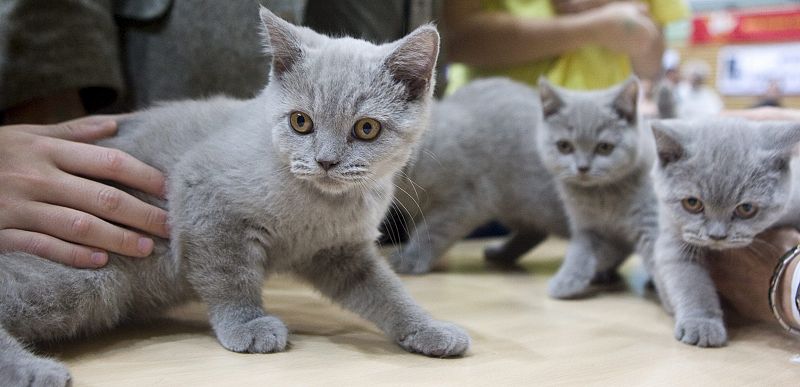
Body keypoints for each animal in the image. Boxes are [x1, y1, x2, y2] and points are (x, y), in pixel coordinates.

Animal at [1, 7, 468, 386]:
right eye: (301, 122)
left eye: (366, 128)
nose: (326, 161)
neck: (319, 204)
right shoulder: (205, 200)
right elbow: (230, 275)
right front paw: (248, 326)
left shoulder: (340, 252)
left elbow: (386, 292)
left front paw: (429, 329)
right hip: (85, 273)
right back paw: (37, 371)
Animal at [388, 77, 568, 274]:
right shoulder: (416, 211)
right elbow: (417, 230)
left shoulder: (462, 202)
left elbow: (429, 232)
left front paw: (410, 259)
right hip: (517, 207)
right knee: (535, 232)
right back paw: (500, 254)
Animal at [648, 119, 800, 348]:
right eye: (692, 203)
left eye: (746, 208)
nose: (717, 235)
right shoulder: (672, 235)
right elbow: (689, 280)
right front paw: (702, 324)